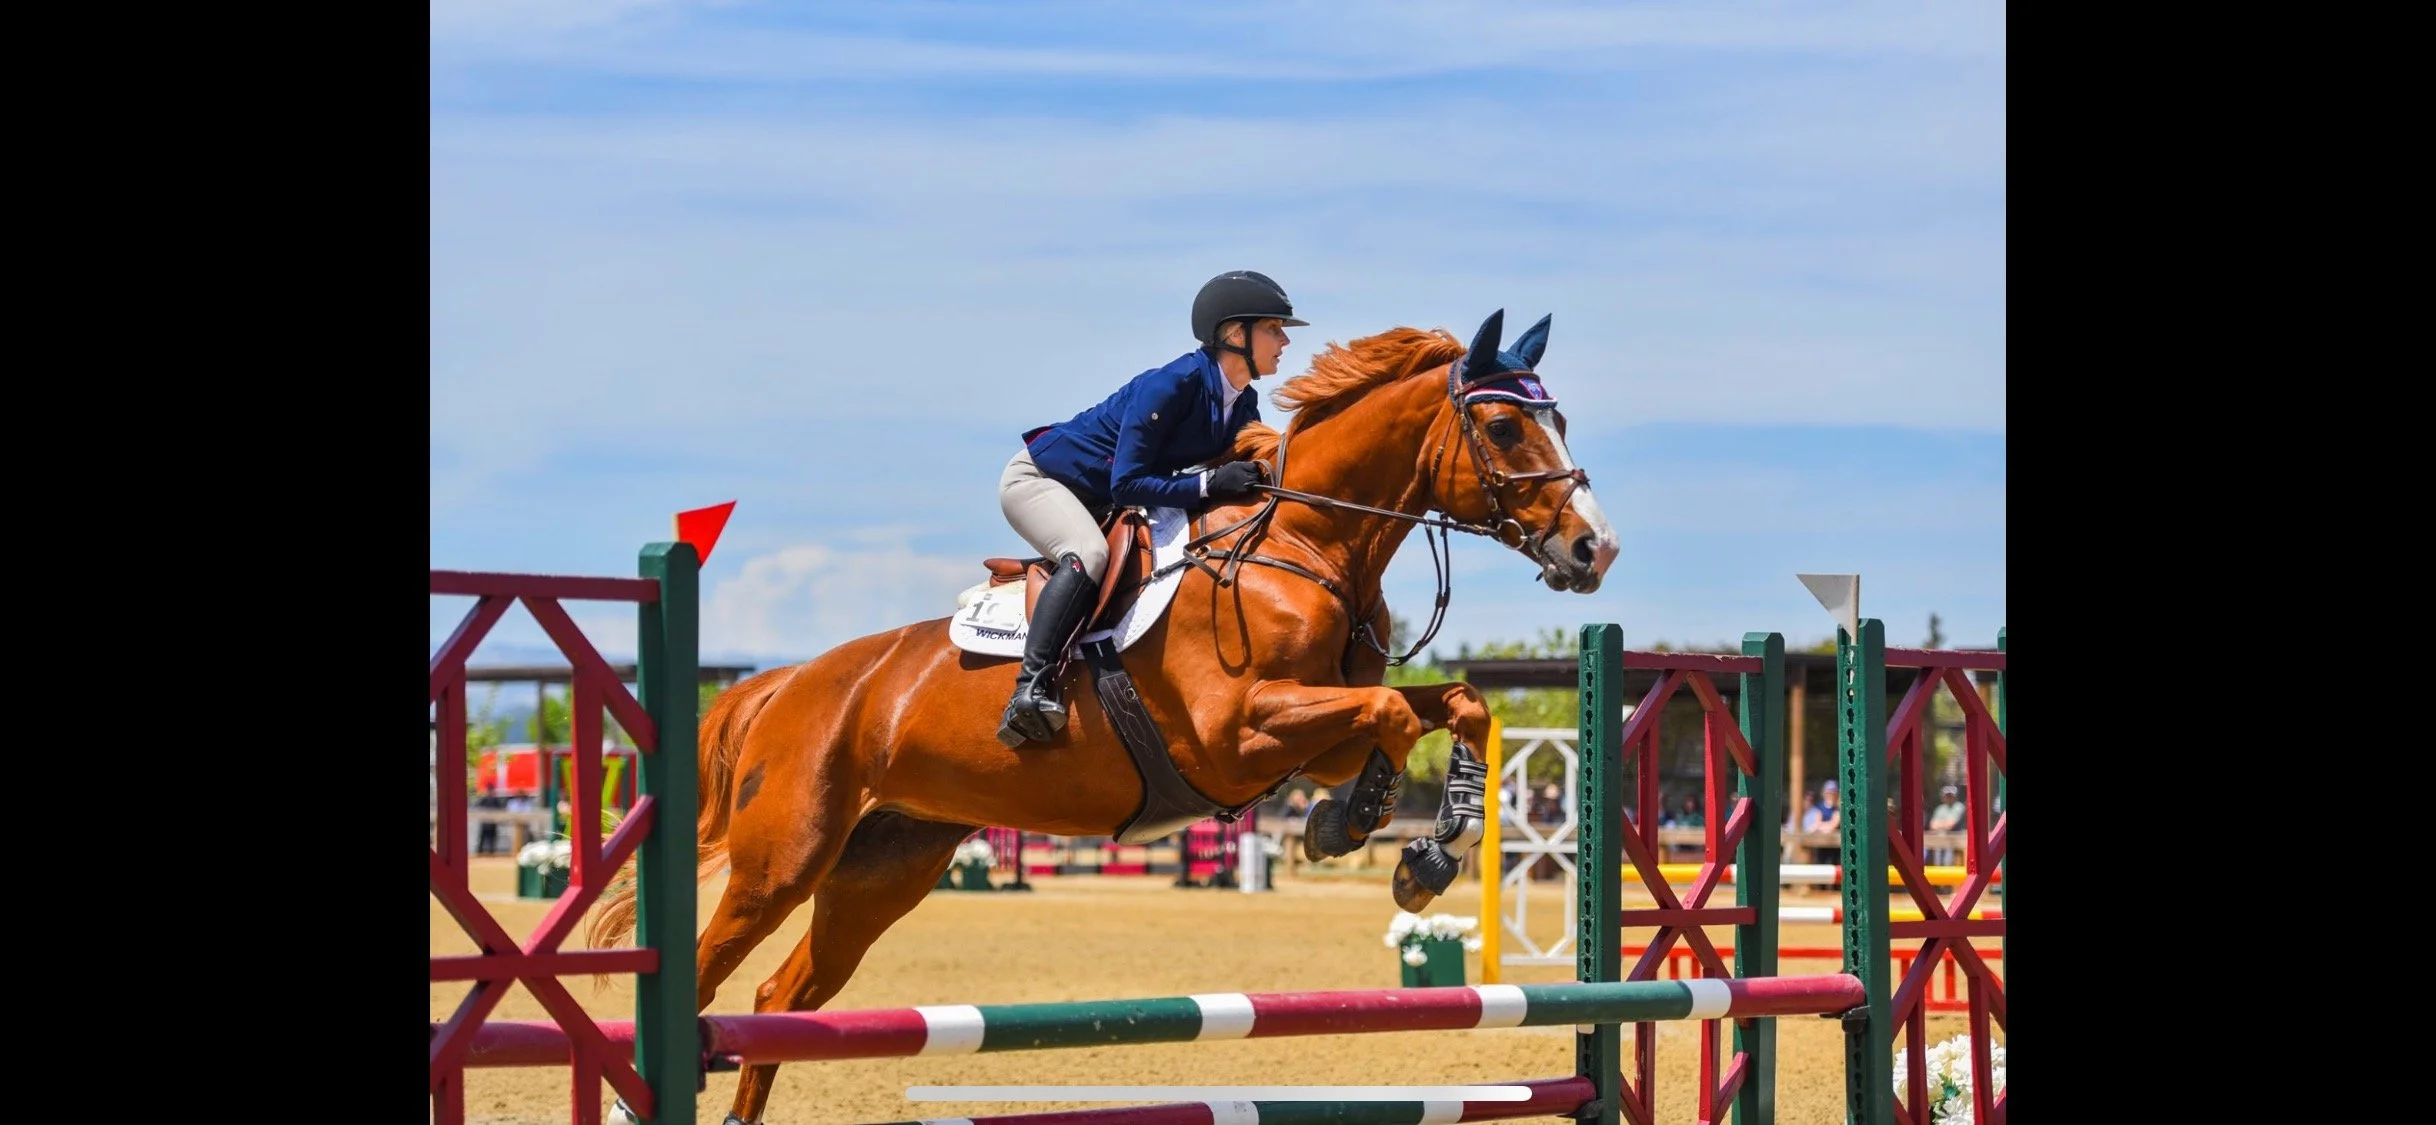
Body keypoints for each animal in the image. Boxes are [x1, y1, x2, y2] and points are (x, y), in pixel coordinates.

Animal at [587, 309, 1619, 1125]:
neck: (1302, 539)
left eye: (1560, 418)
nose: (1593, 548)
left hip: (883, 868)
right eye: (1502, 423)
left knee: (782, 990)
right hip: (784, 858)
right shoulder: (1238, 733)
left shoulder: (1308, 736)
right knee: (711, 970)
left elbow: (1451, 704)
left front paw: (1430, 844)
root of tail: (788, 683)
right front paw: (1364, 832)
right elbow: (1393, 715)